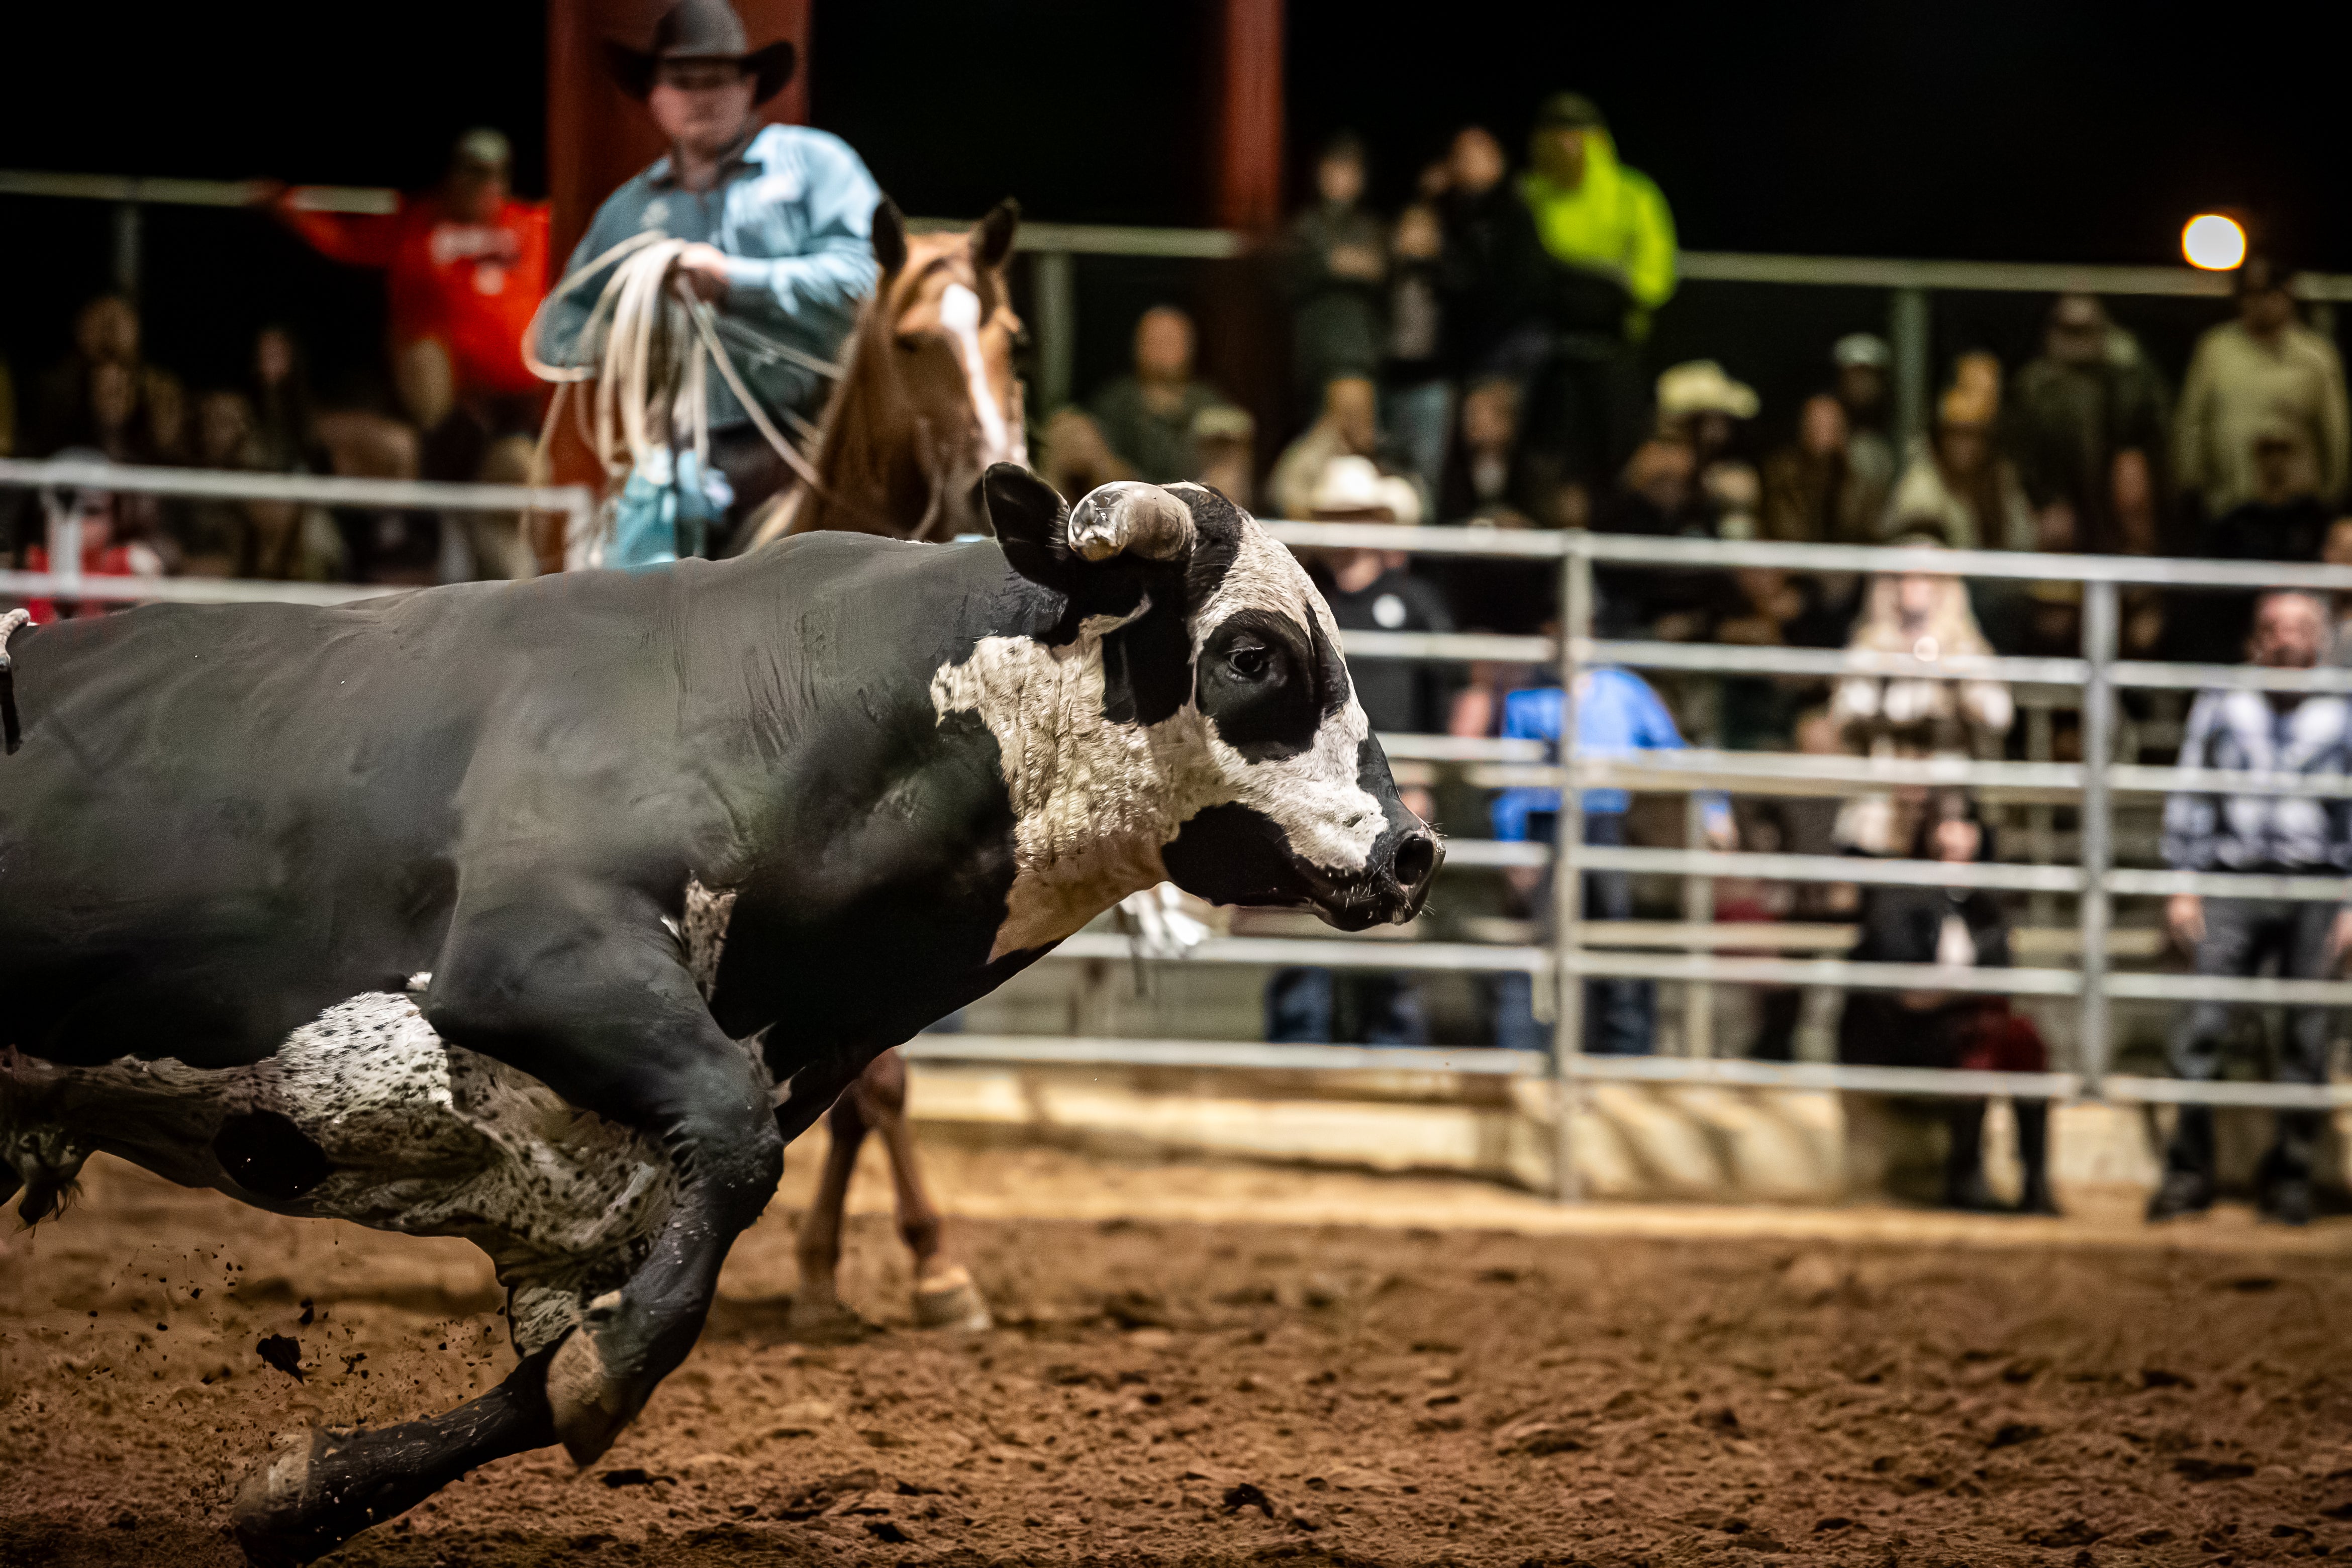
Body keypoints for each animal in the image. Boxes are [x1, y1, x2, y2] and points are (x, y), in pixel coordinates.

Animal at [0, 466, 1441, 1563]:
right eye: (1253, 653)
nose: (1413, 848)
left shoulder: (588, 1203)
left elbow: (548, 1376)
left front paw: (302, 1492)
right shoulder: (537, 958)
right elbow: (724, 1171)